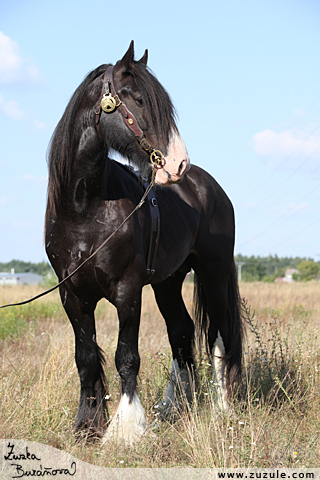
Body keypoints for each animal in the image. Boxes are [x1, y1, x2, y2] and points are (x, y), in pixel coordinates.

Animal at [45, 42, 242, 446]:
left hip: (213, 273)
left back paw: (222, 410)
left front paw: (126, 428)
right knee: (181, 333)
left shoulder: (128, 290)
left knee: (218, 336)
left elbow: (127, 356)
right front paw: (86, 426)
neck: (83, 208)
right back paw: (171, 407)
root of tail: (209, 186)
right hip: (168, 283)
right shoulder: (71, 295)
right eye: (136, 98)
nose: (178, 164)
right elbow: (86, 358)